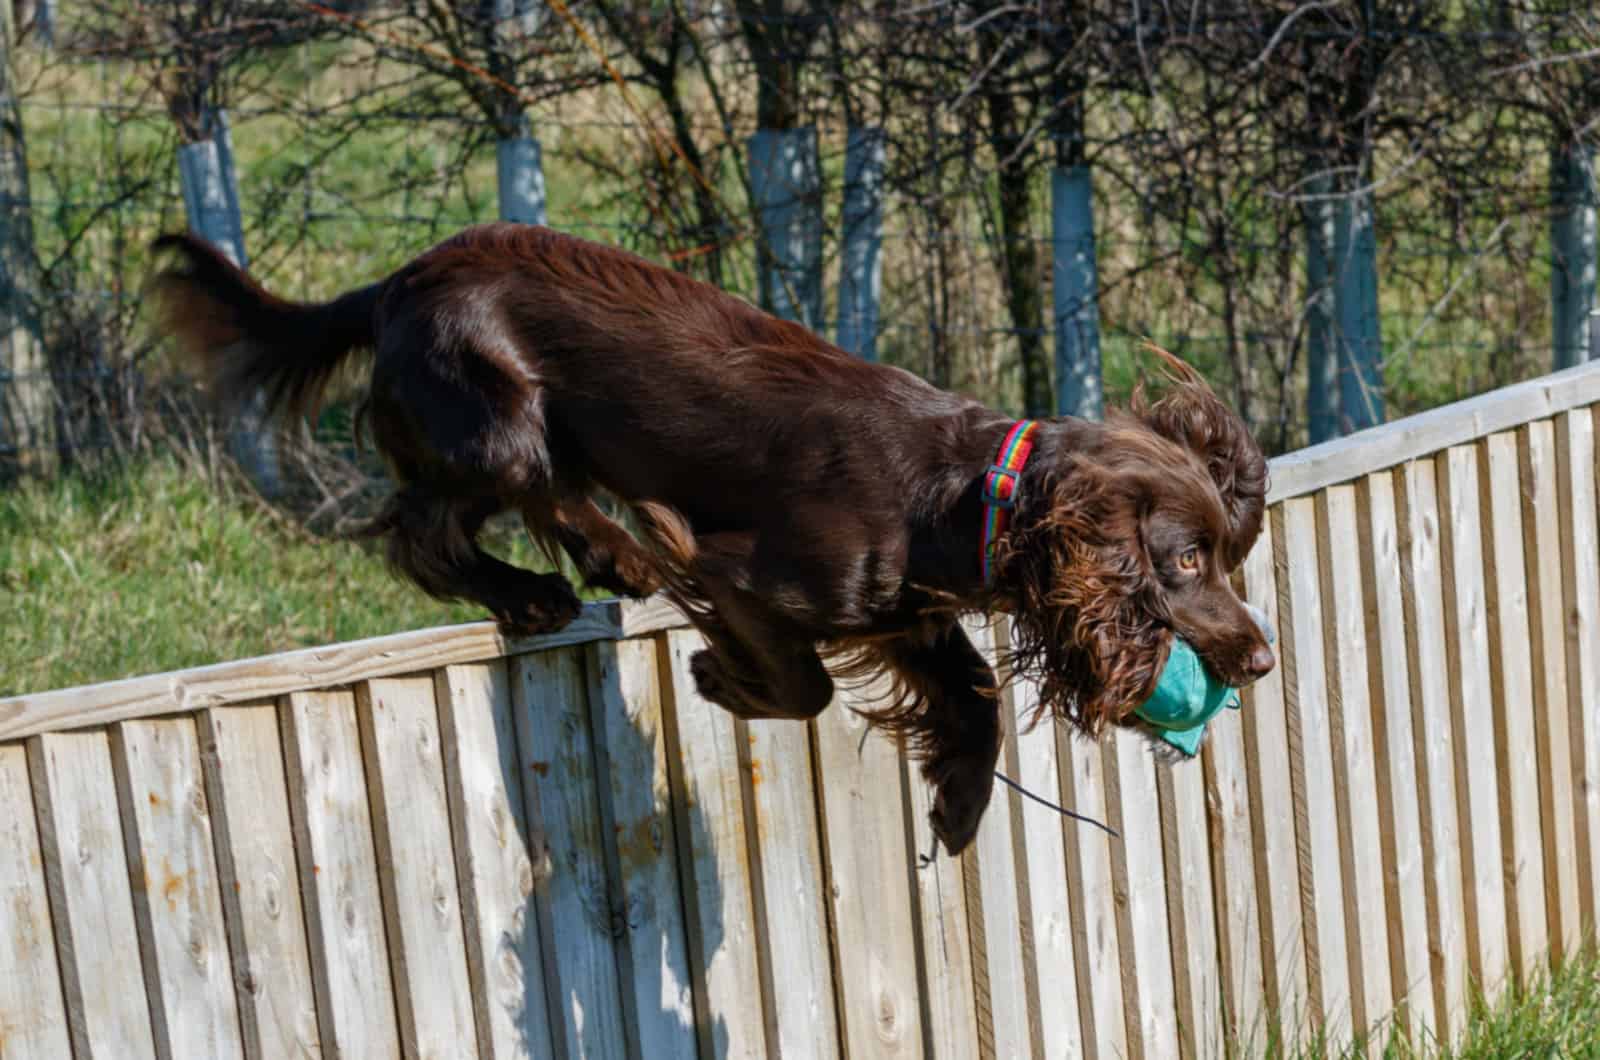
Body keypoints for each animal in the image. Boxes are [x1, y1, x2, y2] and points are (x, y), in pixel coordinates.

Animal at [150, 222, 1273, 858]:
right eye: (1183, 561)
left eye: (1227, 556)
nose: (1261, 658)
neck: (959, 491)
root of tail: (394, 281)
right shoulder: (747, 575)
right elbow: (805, 685)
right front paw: (716, 677)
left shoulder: (905, 617)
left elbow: (972, 695)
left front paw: (956, 804)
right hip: (495, 421)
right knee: (427, 528)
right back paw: (535, 592)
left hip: (534, 429)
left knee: (546, 498)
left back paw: (605, 557)